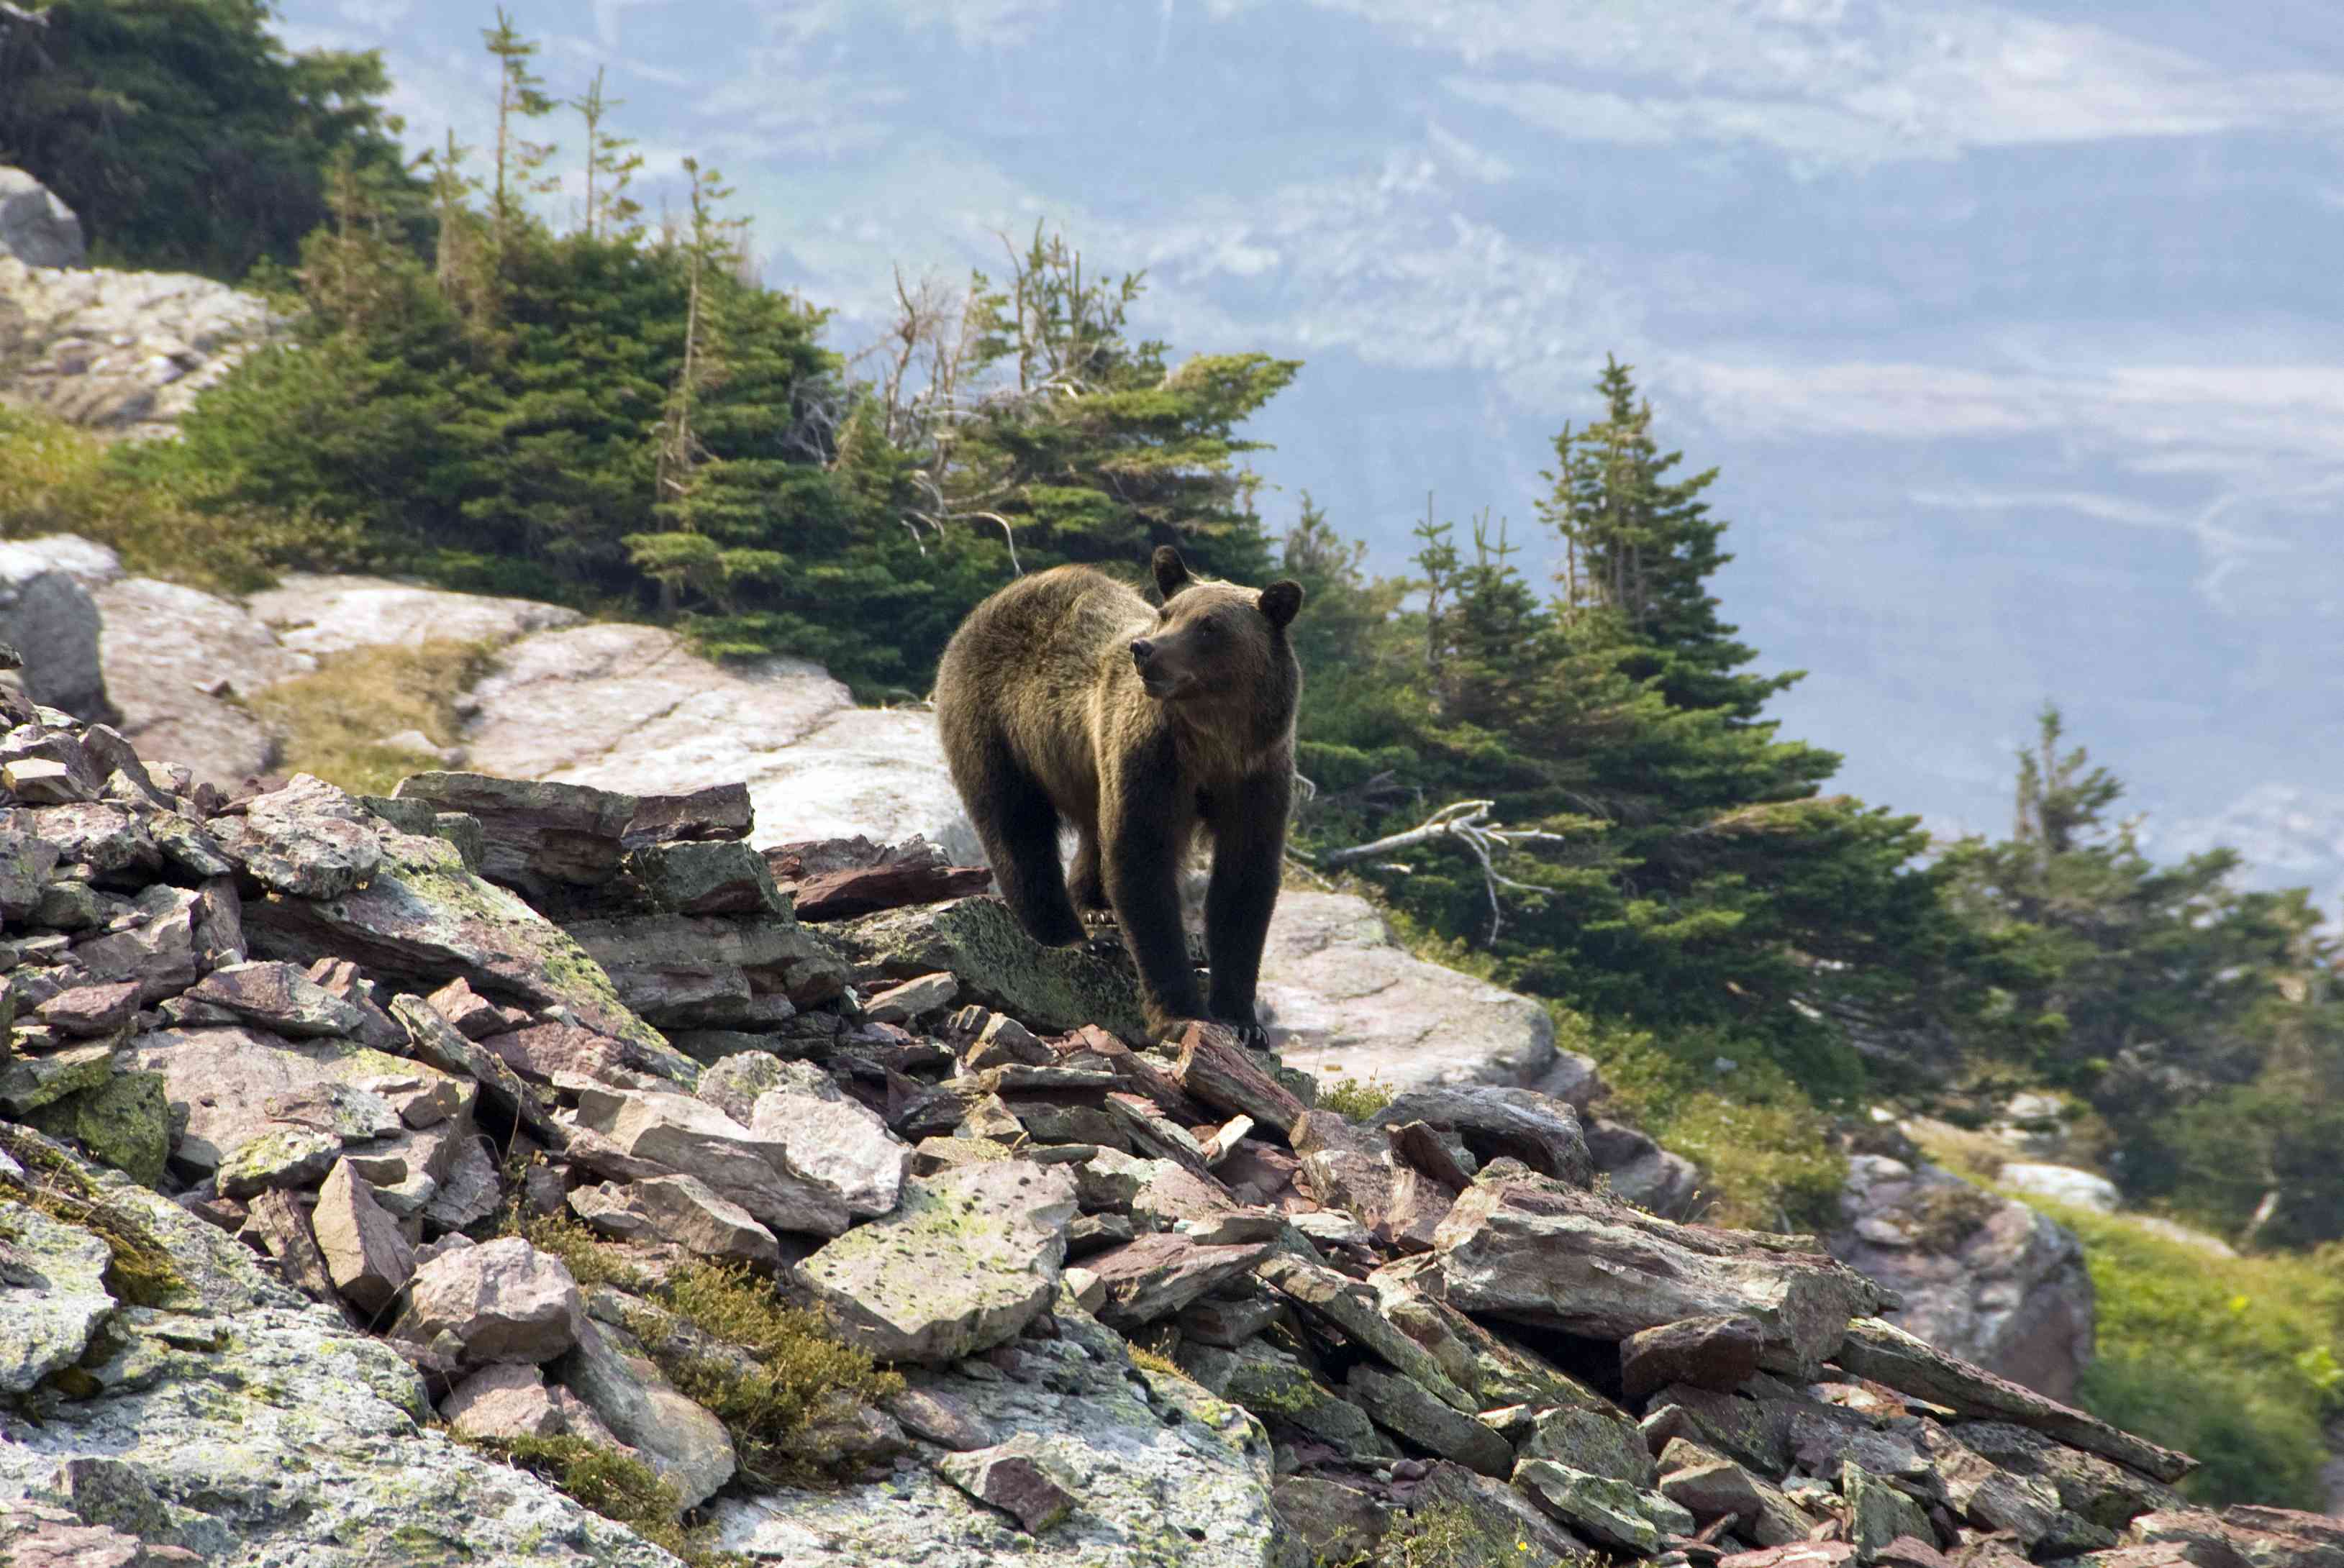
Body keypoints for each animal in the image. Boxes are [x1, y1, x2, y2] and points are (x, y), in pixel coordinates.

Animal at [928, 543, 1303, 1031]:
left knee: (1088, 831)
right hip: (994, 725)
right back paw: (1071, 935)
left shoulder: (1257, 775)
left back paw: (1095, 906)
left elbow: (1245, 881)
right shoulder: (1152, 759)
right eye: (1167, 614)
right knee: (1016, 829)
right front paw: (1179, 1009)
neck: (1213, 742)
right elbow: (1141, 859)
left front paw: (1241, 1018)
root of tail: (993, 602)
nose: (1144, 649)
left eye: (1209, 626)